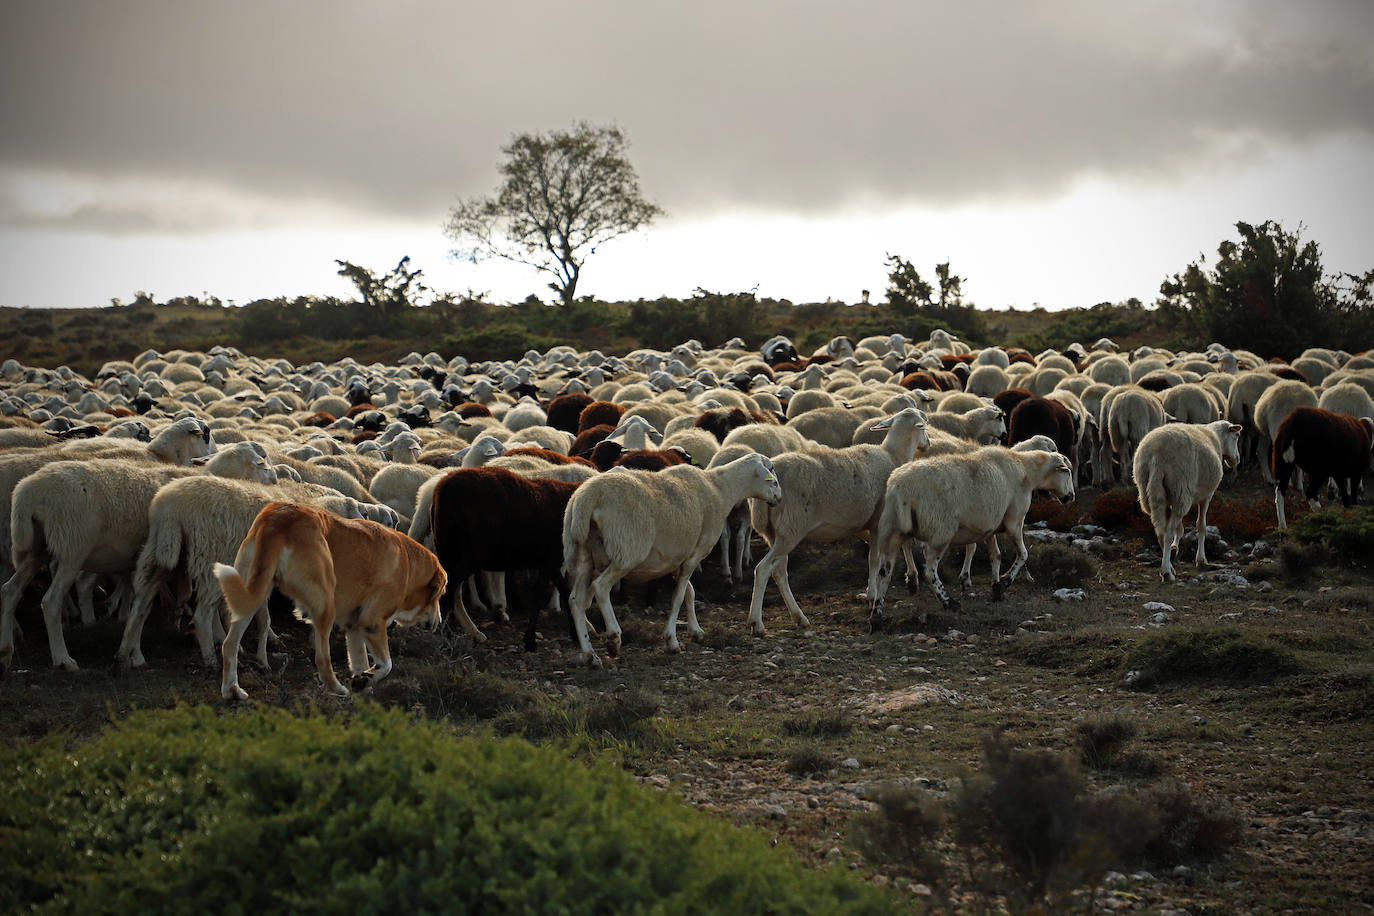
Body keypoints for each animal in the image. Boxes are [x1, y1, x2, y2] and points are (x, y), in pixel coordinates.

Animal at [211, 505, 445, 697]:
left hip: (250, 596)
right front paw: (366, 680)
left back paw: (231, 690)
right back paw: (337, 688)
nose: (439, 622)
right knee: (322, 659)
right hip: (325, 604)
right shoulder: (372, 622)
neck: (408, 561)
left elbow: (360, 662)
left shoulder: (354, 627)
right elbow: (387, 665)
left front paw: (363, 684)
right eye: (440, 595)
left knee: (229, 645)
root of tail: (279, 517)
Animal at [555, 450, 774, 667]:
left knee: (576, 600)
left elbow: (689, 592)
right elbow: (677, 597)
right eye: (772, 475)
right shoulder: (695, 553)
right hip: (625, 552)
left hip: (581, 553)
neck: (720, 489)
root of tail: (586, 500)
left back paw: (589, 654)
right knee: (600, 588)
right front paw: (672, 640)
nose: (778, 498)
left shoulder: (678, 558)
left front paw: (695, 630)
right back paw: (613, 638)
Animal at [747, 409, 928, 637]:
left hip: (774, 533)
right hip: (791, 529)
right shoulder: (879, 521)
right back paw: (757, 624)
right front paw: (874, 596)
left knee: (779, 572)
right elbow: (875, 560)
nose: (928, 443)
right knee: (762, 570)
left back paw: (799, 618)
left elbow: (887, 551)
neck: (893, 454)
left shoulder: (862, 524)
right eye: (925, 426)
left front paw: (907, 581)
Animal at [1126, 420, 1247, 579]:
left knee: (1160, 531)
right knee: (1167, 531)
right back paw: (1167, 573)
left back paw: (1169, 567)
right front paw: (1201, 559)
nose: (1237, 459)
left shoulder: (1172, 498)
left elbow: (1180, 527)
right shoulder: (1207, 494)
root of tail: (1156, 454)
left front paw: (1176, 547)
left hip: (1152, 489)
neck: (1217, 439)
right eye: (1237, 435)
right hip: (1181, 488)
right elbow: (1201, 525)